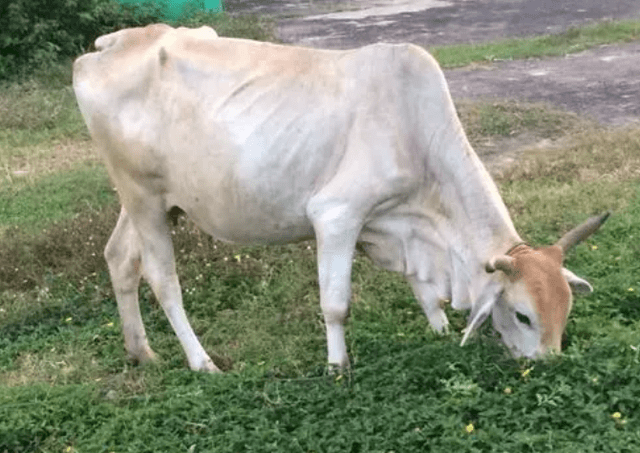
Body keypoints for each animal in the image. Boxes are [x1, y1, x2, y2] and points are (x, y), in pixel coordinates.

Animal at [71, 23, 608, 370]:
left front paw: (437, 331)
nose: (548, 363)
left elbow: (423, 291)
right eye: (523, 315)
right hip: (143, 196)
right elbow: (336, 305)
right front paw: (337, 367)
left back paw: (141, 352)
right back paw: (202, 363)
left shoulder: (396, 226)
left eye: (566, 311)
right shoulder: (337, 216)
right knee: (162, 279)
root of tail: (108, 46)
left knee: (119, 258)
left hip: (157, 202)